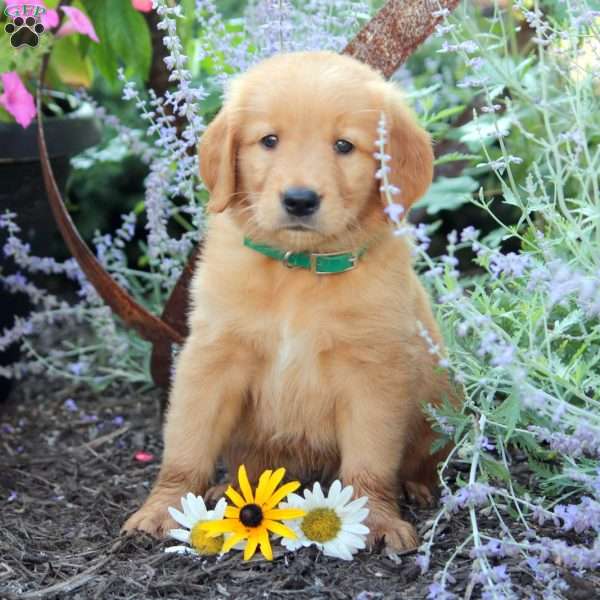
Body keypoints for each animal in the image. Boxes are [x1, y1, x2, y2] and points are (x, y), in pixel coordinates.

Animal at [123, 49, 454, 552]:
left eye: (344, 146)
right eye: (269, 140)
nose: (300, 200)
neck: (297, 272)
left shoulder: (374, 372)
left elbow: (370, 462)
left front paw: (376, 519)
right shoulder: (212, 359)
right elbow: (186, 446)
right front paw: (163, 509)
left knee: (424, 457)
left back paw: (418, 487)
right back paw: (224, 489)